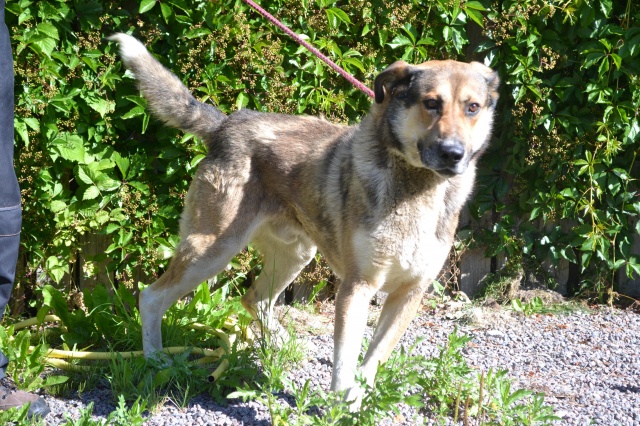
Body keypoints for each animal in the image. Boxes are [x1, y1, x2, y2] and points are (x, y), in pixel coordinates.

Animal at [109, 33, 499, 407]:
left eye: (472, 107)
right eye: (431, 103)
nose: (453, 154)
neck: (417, 188)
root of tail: (225, 124)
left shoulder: (410, 293)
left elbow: (372, 359)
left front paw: (359, 397)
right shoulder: (357, 287)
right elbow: (345, 358)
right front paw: (341, 404)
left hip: (296, 253)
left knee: (254, 299)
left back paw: (280, 344)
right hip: (211, 250)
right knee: (151, 297)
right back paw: (156, 359)